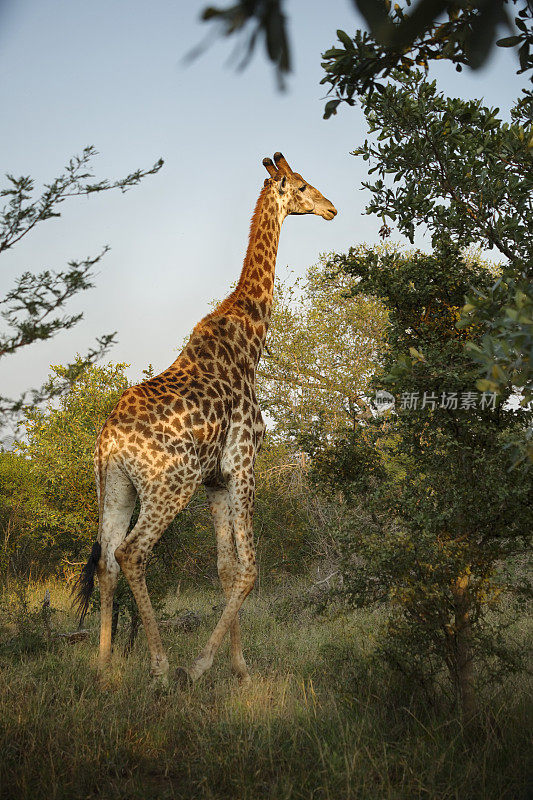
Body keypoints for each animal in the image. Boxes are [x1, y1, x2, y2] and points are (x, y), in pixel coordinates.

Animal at [74, 153, 336, 684]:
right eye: (301, 185)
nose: (331, 208)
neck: (251, 340)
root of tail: (109, 441)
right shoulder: (243, 465)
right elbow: (251, 570)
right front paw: (201, 666)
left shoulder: (216, 481)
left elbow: (226, 570)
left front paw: (239, 667)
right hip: (170, 484)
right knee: (131, 553)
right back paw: (160, 668)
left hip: (114, 488)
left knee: (108, 563)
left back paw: (106, 668)